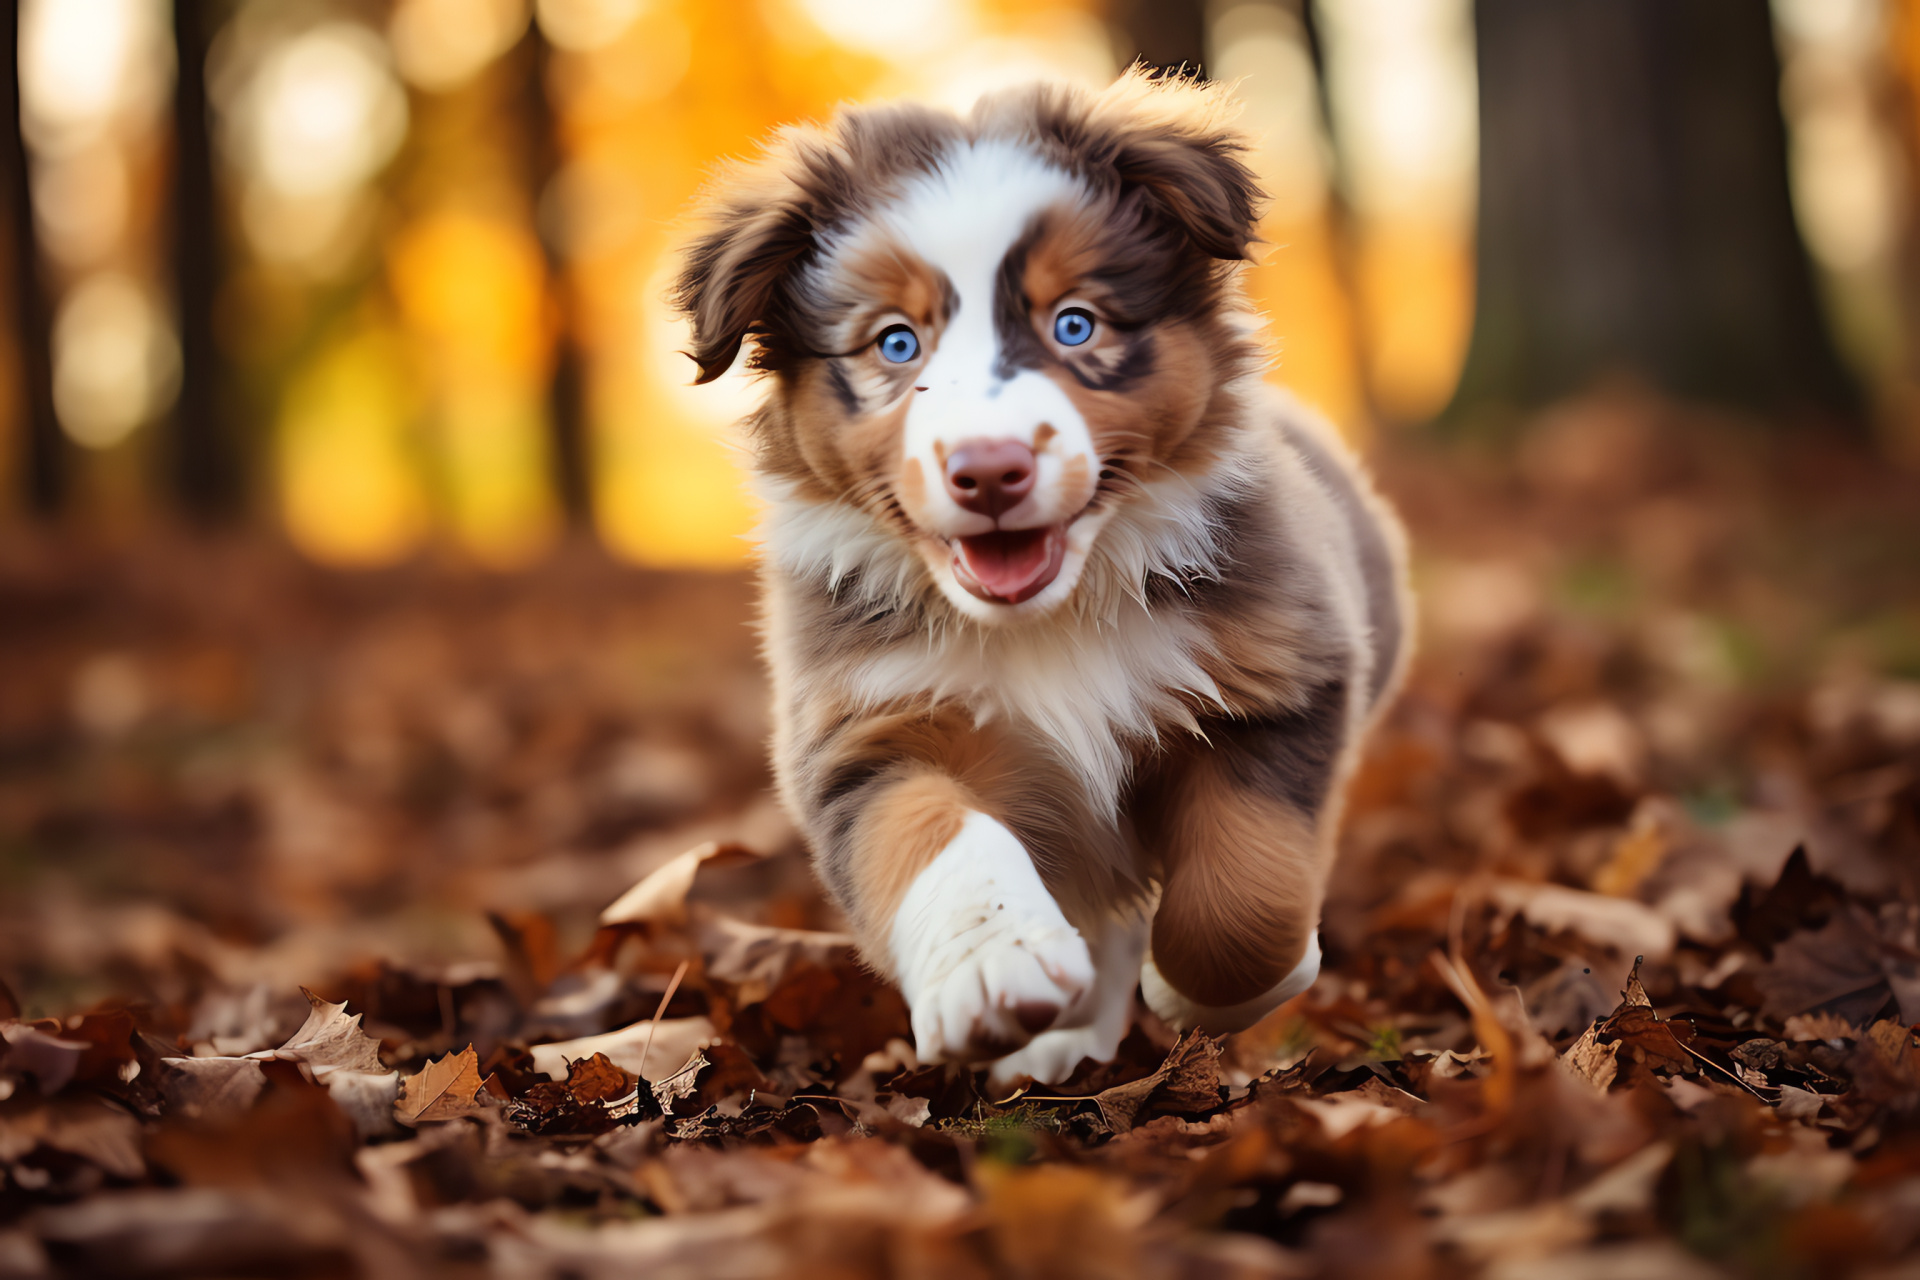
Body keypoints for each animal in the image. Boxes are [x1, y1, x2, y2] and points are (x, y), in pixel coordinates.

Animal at [675, 70, 1413, 1090]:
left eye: (1076, 324)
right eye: (895, 344)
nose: (989, 470)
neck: (1049, 621)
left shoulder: (1282, 673)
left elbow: (1246, 884)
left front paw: (1212, 988)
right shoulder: (864, 728)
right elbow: (926, 829)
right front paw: (992, 973)